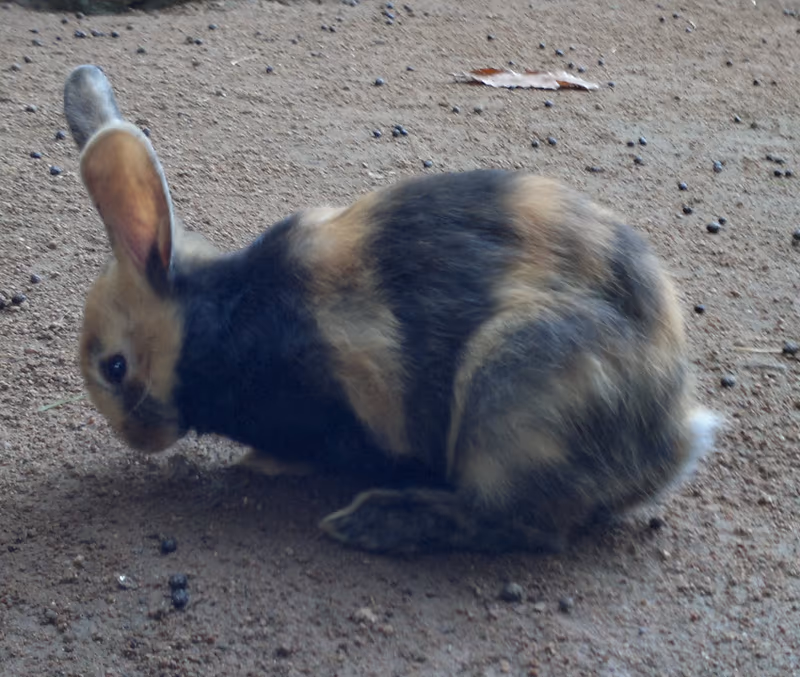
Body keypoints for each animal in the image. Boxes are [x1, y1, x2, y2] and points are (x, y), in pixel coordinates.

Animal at [63, 64, 719, 554]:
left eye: (115, 367)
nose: (133, 437)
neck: (219, 323)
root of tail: (672, 438)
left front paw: (265, 465)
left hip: (512, 388)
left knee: (518, 524)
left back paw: (373, 522)